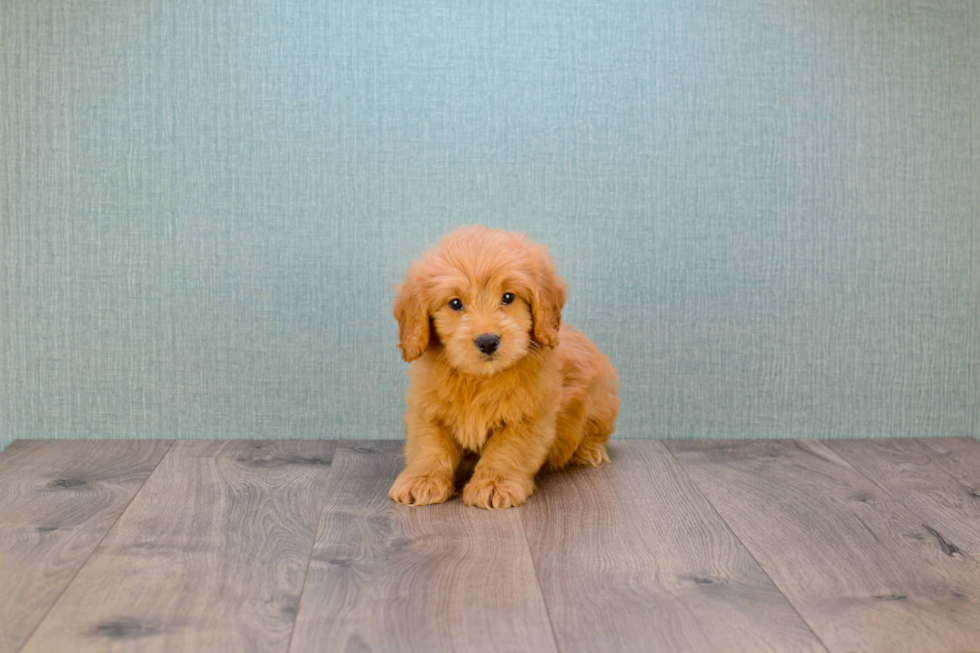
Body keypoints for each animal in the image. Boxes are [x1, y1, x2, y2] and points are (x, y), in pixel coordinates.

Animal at [386, 225, 616, 510]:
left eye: (508, 297)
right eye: (455, 303)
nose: (488, 341)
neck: (478, 379)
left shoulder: (527, 416)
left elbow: (506, 451)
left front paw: (494, 484)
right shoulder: (427, 409)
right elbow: (429, 445)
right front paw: (422, 479)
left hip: (601, 401)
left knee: (595, 433)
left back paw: (588, 450)